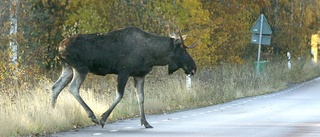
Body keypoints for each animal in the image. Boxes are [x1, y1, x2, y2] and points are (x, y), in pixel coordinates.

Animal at [52, 26, 198, 128]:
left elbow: (141, 98)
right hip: (80, 68)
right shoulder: (123, 71)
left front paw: (145, 122)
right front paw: (103, 118)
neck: (153, 55)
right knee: (72, 88)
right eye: (183, 50)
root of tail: (59, 47)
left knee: (55, 87)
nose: (193, 68)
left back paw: (52, 113)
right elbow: (119, 96)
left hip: (68, 69)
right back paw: (92, 116)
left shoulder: (139, 75)